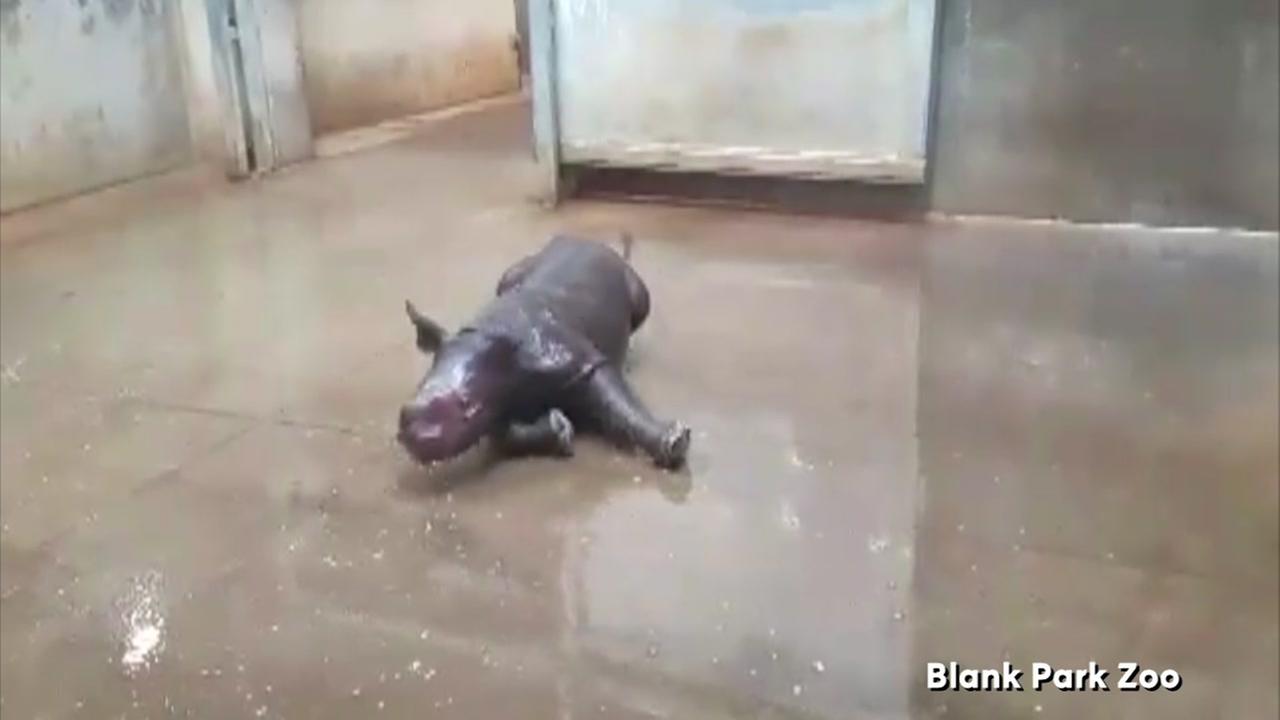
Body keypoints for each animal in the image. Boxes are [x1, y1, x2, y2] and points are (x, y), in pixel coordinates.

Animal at [396, 235, 691, 468]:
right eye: (418, 385)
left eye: (466, 405)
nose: (410, 432)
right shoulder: (498, 399)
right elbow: (503, 435)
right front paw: (560, 429)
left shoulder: (579, 358)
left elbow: (616, 399)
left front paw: (677, 441)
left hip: (632, 284)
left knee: (642, 308)